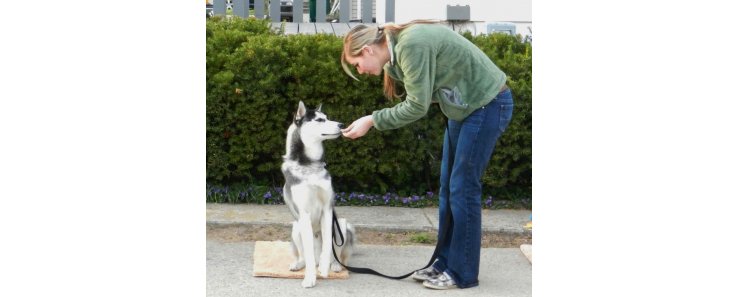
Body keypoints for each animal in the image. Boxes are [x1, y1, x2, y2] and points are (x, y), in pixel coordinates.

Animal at [280, 100, 356, 286]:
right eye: (320, 120)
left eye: (327, 117)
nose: (341, 125)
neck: (309, 166)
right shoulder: (304, 214)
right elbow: (307, 251)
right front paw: (310, 278)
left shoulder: (328, 210)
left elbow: (328, 245)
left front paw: (324, 268)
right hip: (296, 227)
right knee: (305, 255)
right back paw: (299, 264)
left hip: (341, 225)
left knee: (337, 254)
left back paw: (334, 265)